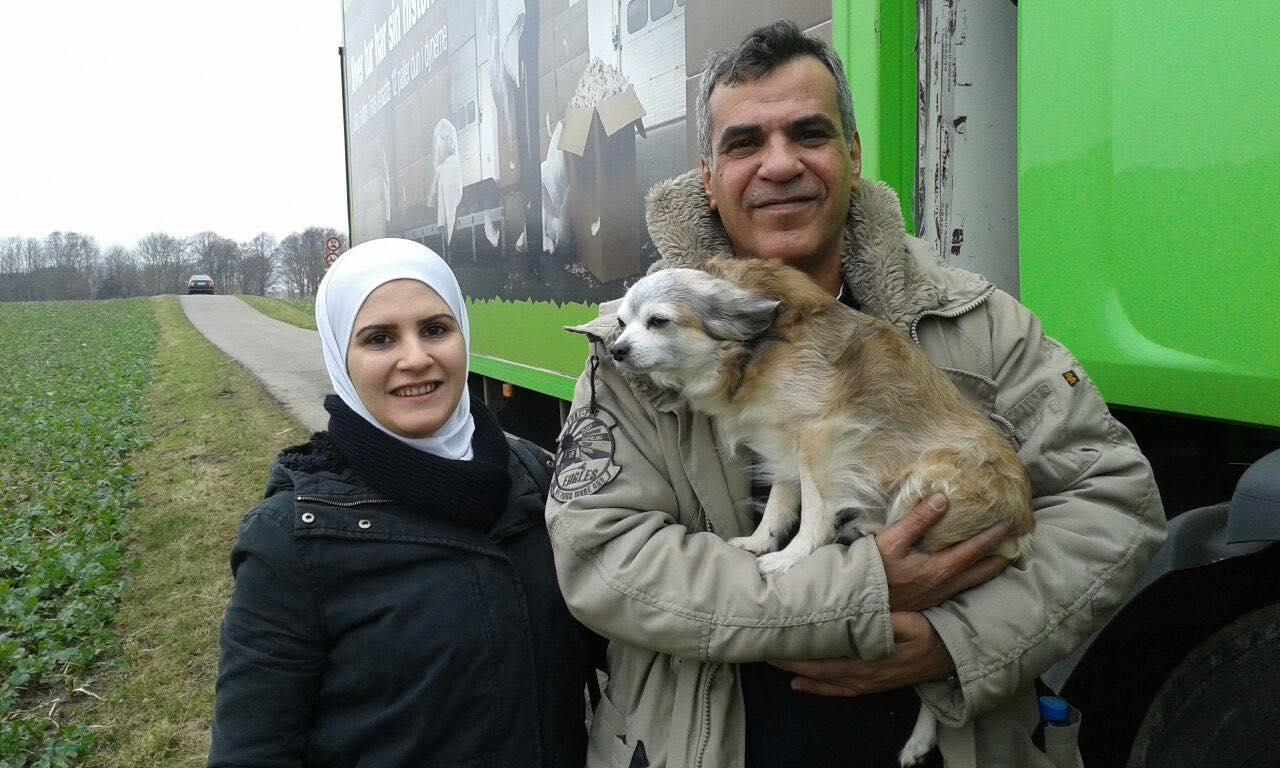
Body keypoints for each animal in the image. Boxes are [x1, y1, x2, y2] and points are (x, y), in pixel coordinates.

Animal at [604, 259, 1034, 768]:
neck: (752, 347)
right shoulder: (783, 441)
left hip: (927, 478)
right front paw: (761, 542)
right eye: (621, 323)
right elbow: (780, 501)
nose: (615, 351)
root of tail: (1024, 525)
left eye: (659, 321)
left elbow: (813, 509)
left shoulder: (820, 438)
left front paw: (794, 556)